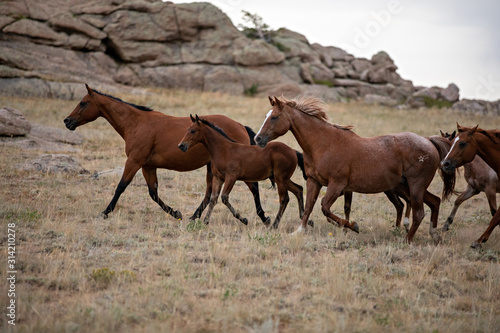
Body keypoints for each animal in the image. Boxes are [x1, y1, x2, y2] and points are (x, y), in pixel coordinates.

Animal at [65, 83, 274, 223]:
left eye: (83, 103)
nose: (67, 121)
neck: (137, 123)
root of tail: (240, 125)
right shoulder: (148, 166)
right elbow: (153, 193)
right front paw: (176, 213)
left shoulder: (134, 161)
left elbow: (121, 187)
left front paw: (105, 212)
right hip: (212, 168)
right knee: (209, 194)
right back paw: (194, 216)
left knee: (253, 188)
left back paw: (263, 217)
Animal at [178, 113, 306, 226]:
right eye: (187, 129)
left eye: (193, 131)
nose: (181, 145)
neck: (224, 150)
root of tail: (293, 151)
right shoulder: (218, 178)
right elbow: (213, 199)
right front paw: (205, 221)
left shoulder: (231, 177)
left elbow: (224, 197)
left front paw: (244, 220)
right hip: (281, 178)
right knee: (298, 189)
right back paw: (304, 218)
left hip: (280, 178)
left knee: (284, 199)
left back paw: (275, 224)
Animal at [256, 94, 456, 243]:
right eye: (265, 116)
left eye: (274, 117)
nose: (258, 139)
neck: (324, 144)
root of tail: (428, 141)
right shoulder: (314, 181)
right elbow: (308, 207)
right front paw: (300, 231)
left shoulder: (337, 184)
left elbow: (325, 208)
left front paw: (352, 226)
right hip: (410, 187)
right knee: (435, 202)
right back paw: (434, 235)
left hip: (415, 187)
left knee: (419, 213)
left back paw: (407, 240)